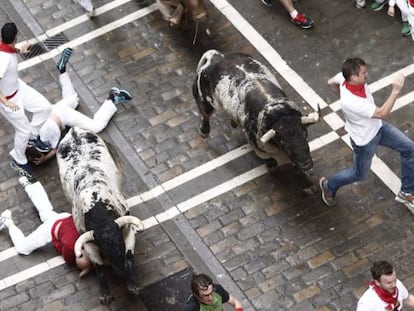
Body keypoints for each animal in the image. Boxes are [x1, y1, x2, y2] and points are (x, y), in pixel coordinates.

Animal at [56, 128, 144, 306]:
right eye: (103, 249)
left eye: (119, 243)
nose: (120, 269)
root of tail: (73, 130)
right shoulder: (89, 243)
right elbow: (99, 267)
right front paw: (105, 294)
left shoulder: (126, 229)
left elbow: (129, 255)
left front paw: (133, 285)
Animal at [194, 49, 320, 190]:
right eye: (282, 142)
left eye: (304, 134)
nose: (306, 164)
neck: (279, 114)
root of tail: (216, 56)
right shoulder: (261, 149)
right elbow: (271, 161)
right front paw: (273, 168)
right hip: (205, 102)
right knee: (205, 115)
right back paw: (204, 131)